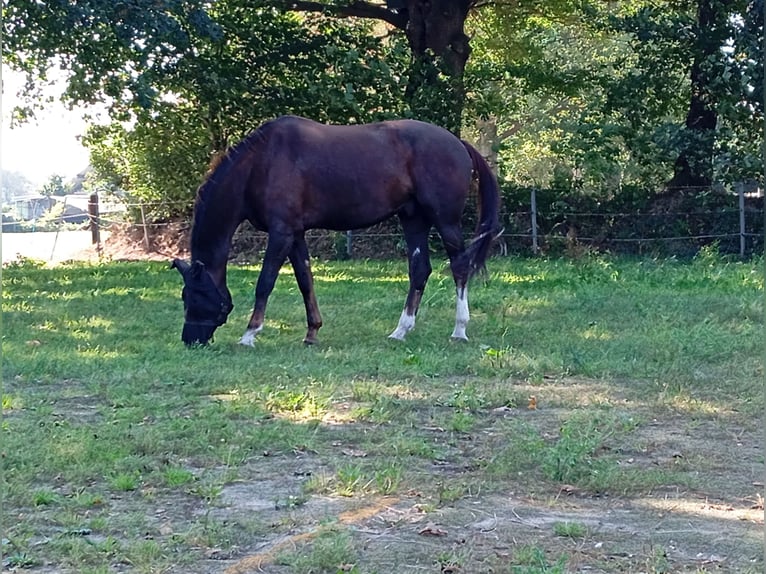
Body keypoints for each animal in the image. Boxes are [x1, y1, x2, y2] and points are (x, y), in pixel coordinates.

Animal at [172, 115, 501, 347]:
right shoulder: (295, 234)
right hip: (413, 220)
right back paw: (400, 330)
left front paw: (250, 334)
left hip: (445, 222)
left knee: (460, 267)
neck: (262, 162)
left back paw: (459, 329)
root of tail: (458, 142)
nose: (190, 340)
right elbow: (305, 281)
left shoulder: (281, 233)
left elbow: (265, 282)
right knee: (419, 270)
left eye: (195, 297)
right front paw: (312, 332)